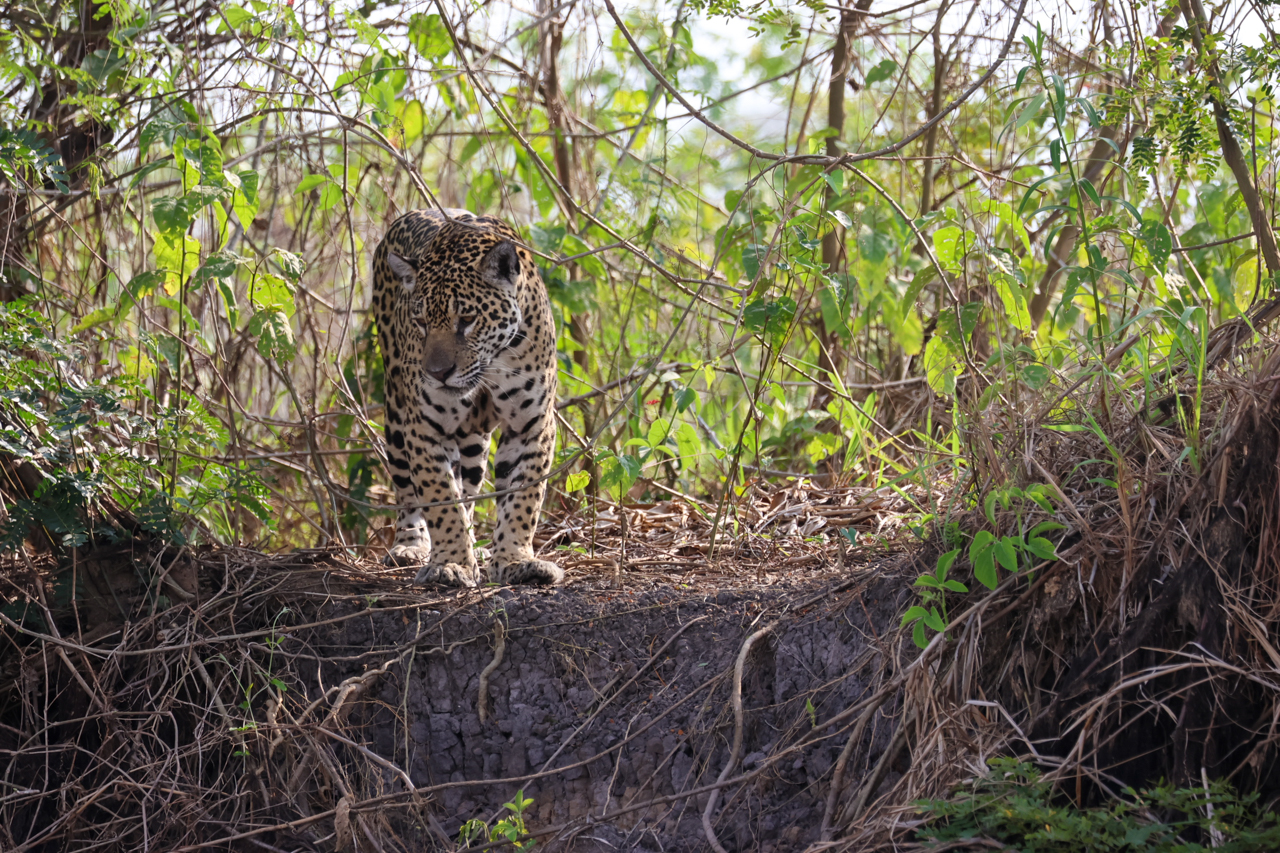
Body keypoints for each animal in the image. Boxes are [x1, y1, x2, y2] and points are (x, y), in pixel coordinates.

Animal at [371, 208, 563, 587]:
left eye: (468, 318)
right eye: (420, 321)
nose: (437, 373)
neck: (489, 366)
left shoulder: (532, 426)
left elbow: (522, 499)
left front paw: (515, 559)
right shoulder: (424, 428)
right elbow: (441, 498)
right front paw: (450, 563)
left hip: (474, 441)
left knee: (470, 488)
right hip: (396, 413)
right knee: (407, 490)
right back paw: (411, 546)